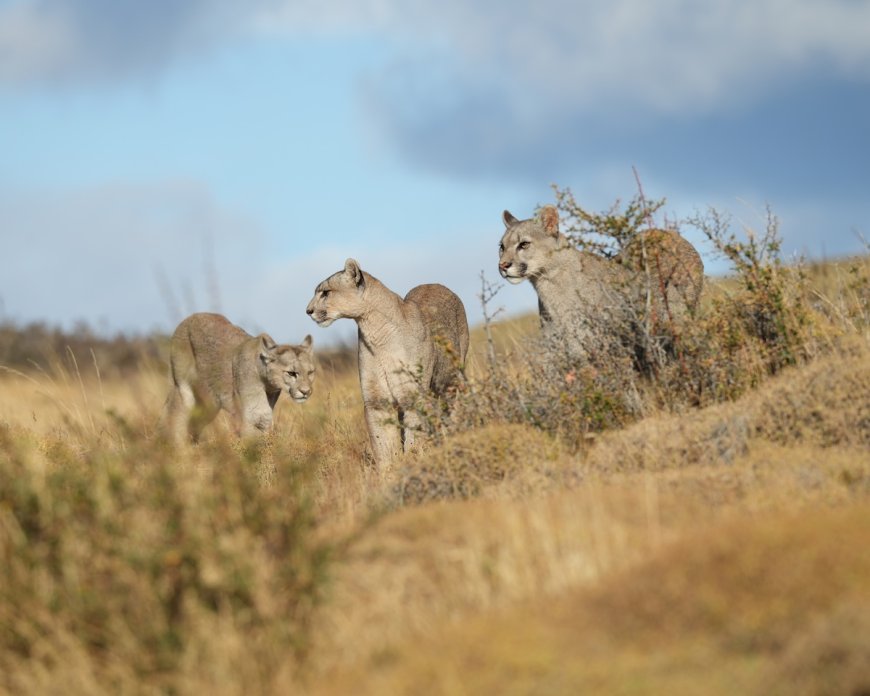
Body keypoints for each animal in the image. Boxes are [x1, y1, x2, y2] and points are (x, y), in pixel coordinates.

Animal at [163, 312, 315, 443]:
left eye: (310, 372)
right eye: (291, 373)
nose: (306, 392)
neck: (267, 383)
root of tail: (191, 317)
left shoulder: (264, 416)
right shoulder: (250, 416)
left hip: (209, 403)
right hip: (184, 388)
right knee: (176, 414)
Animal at [306, 258, 469, 470]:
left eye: (325, 292)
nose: (308, 311)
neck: (376, 334)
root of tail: (435, 283)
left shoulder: (412, 397)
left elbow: (413, 438)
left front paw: (412, 462)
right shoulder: (376, 400)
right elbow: (382, 444)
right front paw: (387, 472)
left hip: (452, 380)